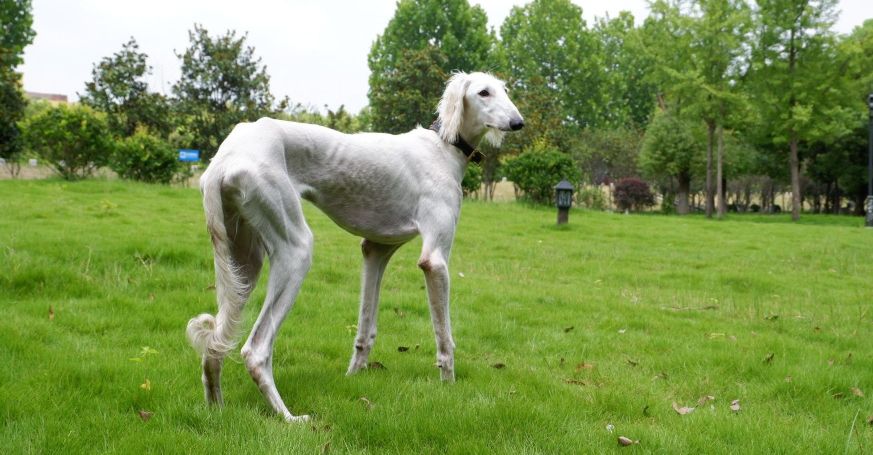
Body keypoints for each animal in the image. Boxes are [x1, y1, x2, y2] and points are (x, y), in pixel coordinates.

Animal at [187, 72, 520, 424]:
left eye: (505, 90)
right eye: (483, 92)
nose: (518, 122)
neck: (443, 148)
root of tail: (222, 159)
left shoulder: (376, 249)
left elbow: (366, 329)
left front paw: (354, 377)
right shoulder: (435, 261)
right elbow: (445, 338)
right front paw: (449, 387)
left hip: (242, 261)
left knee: (215, 345)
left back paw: (217, 411)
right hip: (294, 249)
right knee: (255, 349)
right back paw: (289, 418)